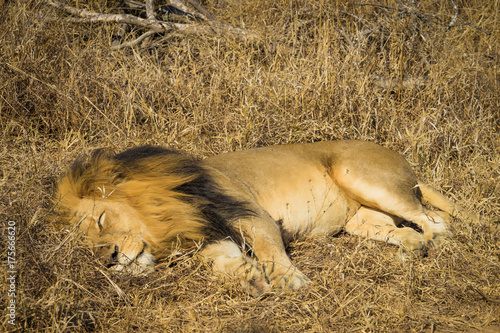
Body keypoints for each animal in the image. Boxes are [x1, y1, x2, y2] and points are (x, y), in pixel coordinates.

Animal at [55, 139, 476, 294]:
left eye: (101, 221)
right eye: (85, 243)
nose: (108, 259)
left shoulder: (251, 215)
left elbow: (271, 251)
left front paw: (290, 281)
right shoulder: (211, 237)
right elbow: (223, 265)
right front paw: (252, 279)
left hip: (359, 173)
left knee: (438, 223)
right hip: (361, 220)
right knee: (408, 233)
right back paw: (407, 256)